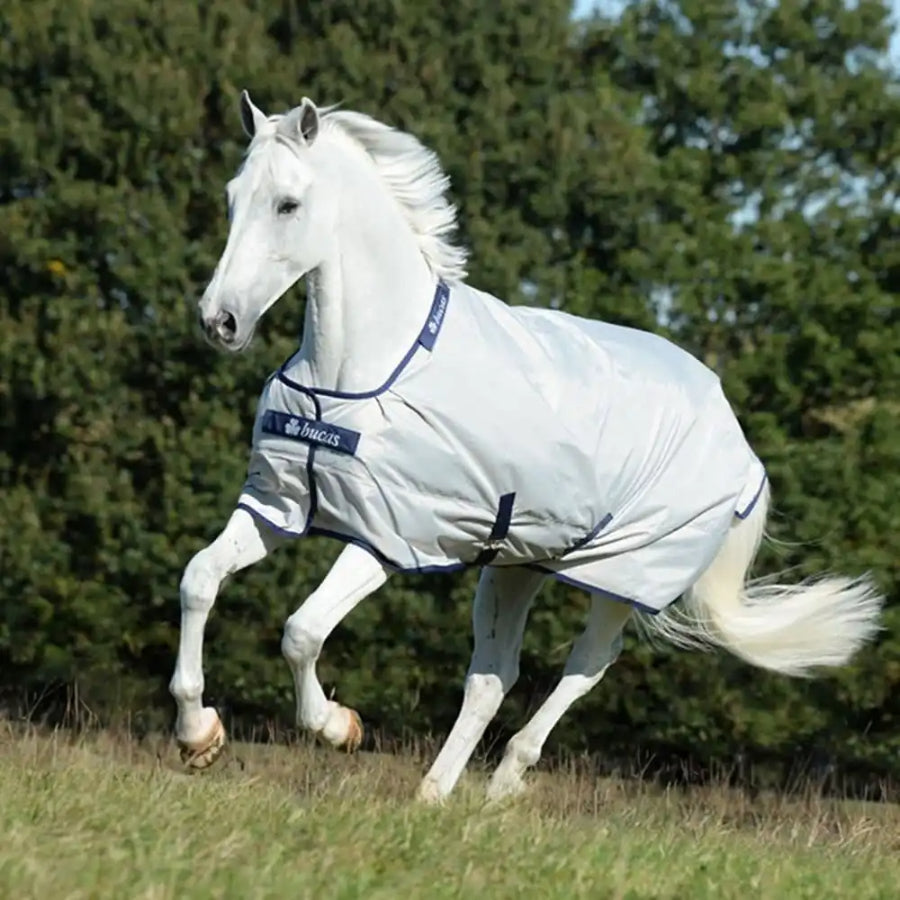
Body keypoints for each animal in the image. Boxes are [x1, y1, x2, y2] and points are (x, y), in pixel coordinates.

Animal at [169, 92, 883, 803]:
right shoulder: (280, 506)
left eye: (287, 204)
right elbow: (199, 579)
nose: (219, 321)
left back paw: (504, 783)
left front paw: (339, 727)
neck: (360, 372)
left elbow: (301, 631)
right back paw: (436, 796)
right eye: (233, 197)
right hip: (514, 564)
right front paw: (199, 736)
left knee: (587, 665)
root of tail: (738, 440)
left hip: (621, 576)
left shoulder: (388, 537)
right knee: (492, 679)